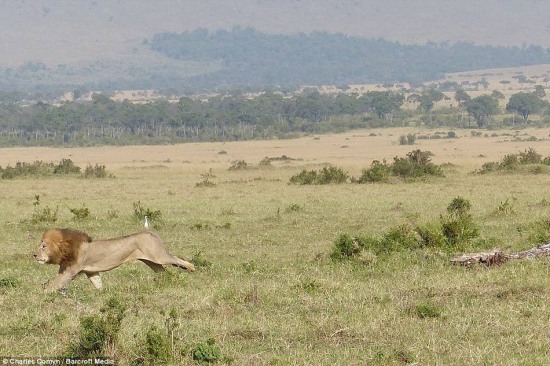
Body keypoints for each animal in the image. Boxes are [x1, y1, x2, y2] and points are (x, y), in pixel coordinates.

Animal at [33, 227, 196, 294]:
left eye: (43, 246)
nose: (34, 255)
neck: (66, 249)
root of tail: (150, 232)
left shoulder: (69, 272)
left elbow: (54, 284)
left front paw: (40, 294)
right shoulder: (91, 272)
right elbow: (98, 284)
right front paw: (103, 293)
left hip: (158, 256)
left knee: (176, 259)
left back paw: (192, 267)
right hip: (152, 262)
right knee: (163, 272)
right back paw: (166, 282)